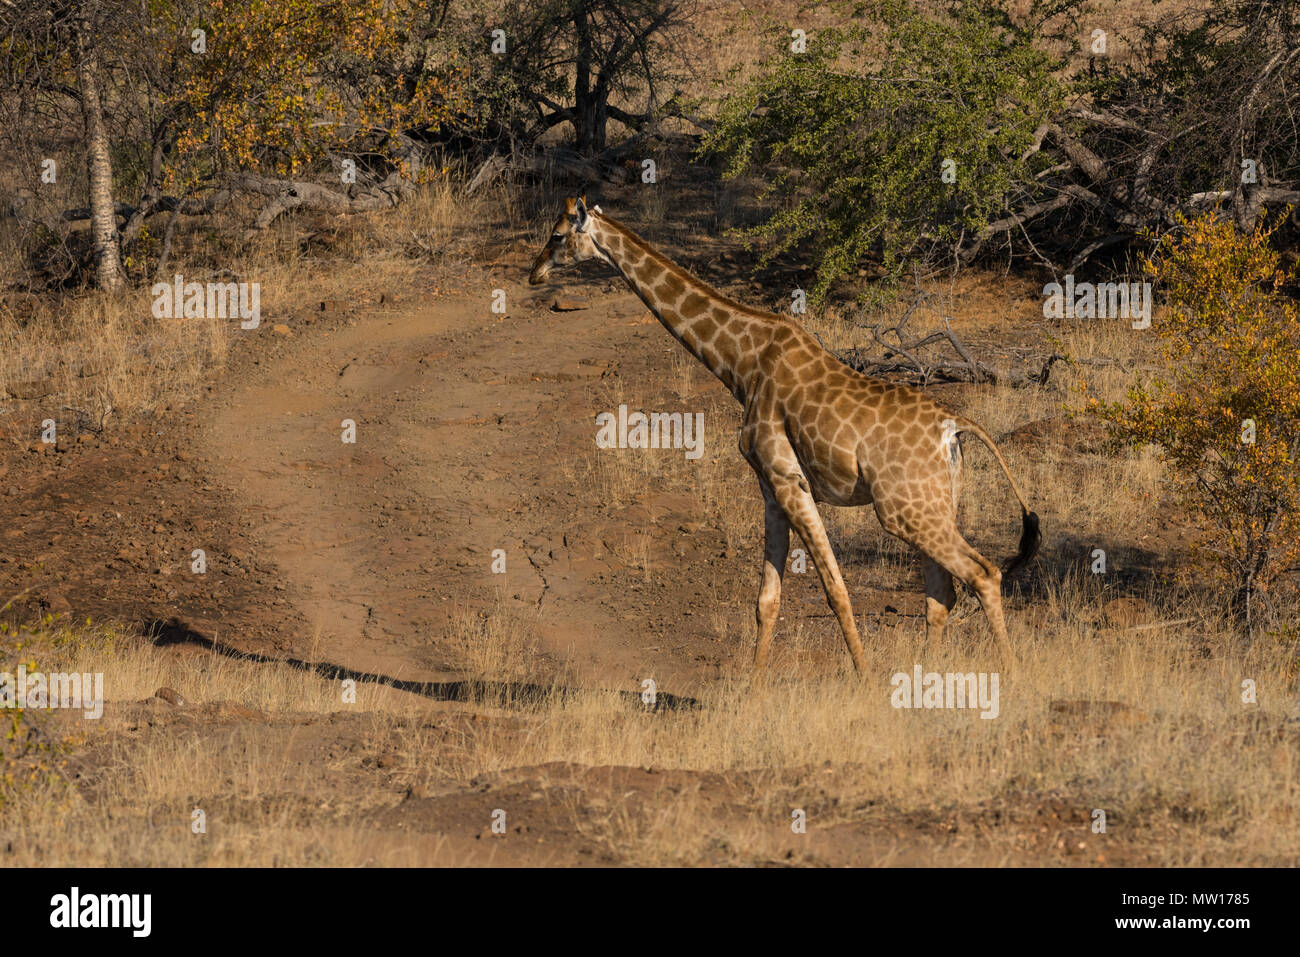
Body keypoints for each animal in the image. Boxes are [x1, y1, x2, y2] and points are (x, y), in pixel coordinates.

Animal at [525, 195, 1034, 670]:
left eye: (556, 235)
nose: (533, 274)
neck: (742, 363)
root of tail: (955, 426)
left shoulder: (789, 479)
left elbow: (835, 591)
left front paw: (865, 680)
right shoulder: (769, 486)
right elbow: (766, 601)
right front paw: (754, 691)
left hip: (901, 510)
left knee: (983, 573)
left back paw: (1011, 677)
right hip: (933, 504)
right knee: (942, 594)